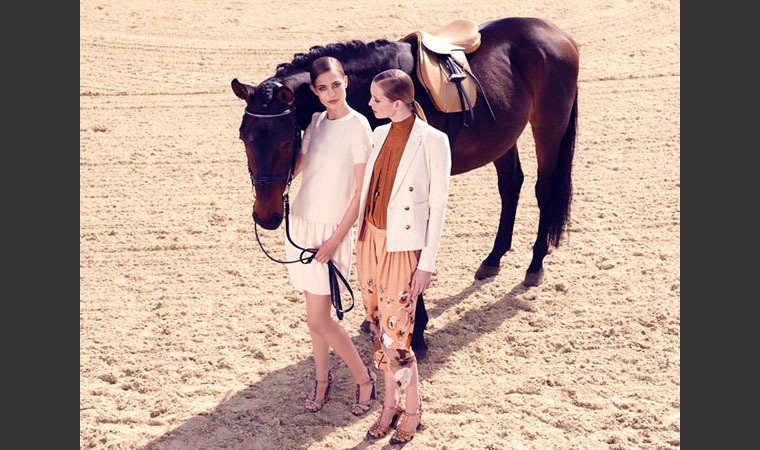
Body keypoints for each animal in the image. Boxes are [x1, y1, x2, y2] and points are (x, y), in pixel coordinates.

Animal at [232, 17, 578, 354]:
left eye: (286, 140)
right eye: (243, 136)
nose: (266, 216)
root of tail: (558, 34)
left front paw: (417, 331)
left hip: (549, 127)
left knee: (544, 191)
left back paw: (535, 264)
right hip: (503, 137)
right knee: (510, 185)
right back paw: (493, 259)